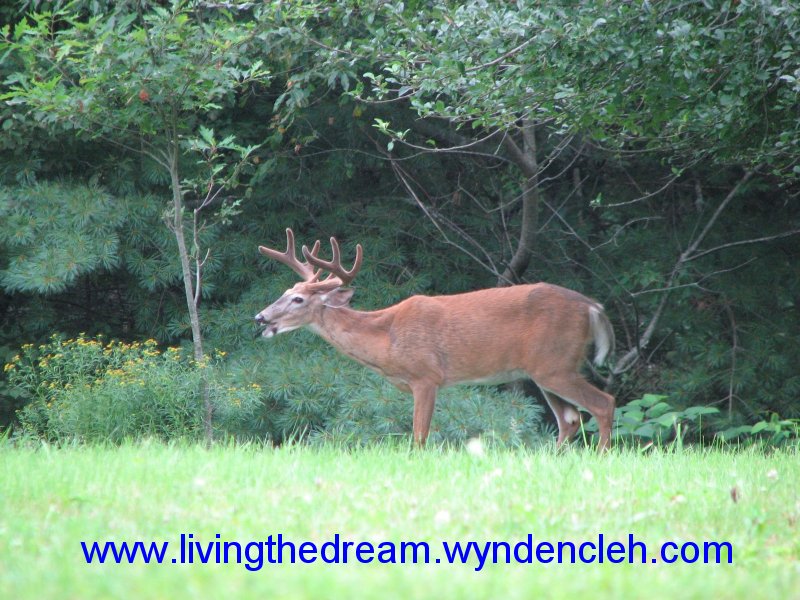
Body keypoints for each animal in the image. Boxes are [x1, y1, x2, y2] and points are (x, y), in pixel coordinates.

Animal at [253, 230, 616, 450]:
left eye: (298, 299)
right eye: (285, 291)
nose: (261, 318)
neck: (386, 340)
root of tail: (592, 307)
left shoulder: (426, 376)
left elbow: (419, 436)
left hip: (556, 363)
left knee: (603, 403)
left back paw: (599, 455)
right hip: (544, 370)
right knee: (570, 419)